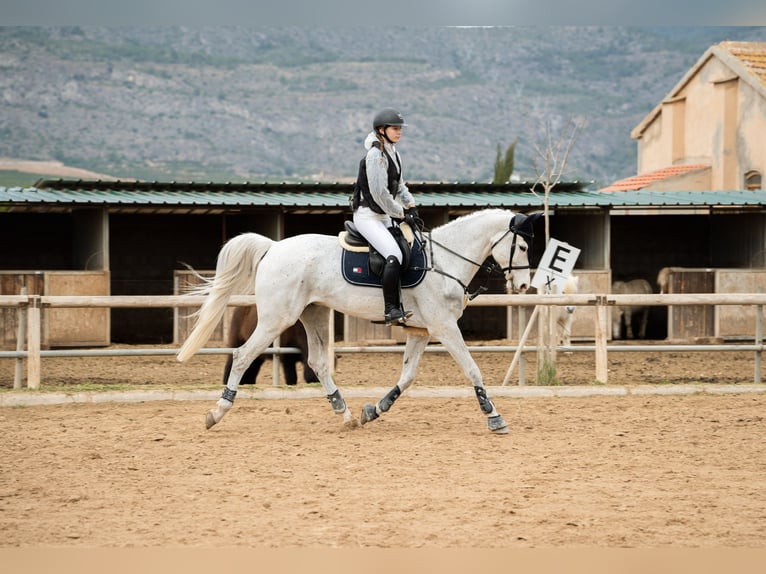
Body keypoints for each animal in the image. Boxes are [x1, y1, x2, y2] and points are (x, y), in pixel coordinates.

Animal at [177, 209, 540, 434]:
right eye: (522, 246)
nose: (524, 286)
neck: (444, 261)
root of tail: (273, 247)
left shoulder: (421, 331)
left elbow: (407, 377)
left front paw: (374, 410)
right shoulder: (444, 327)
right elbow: (472, 369)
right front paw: (494, 416)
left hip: (314, 314)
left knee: (318, 363)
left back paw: (346, 414)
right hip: (276, 319)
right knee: (242, 356)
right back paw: (216, 413)